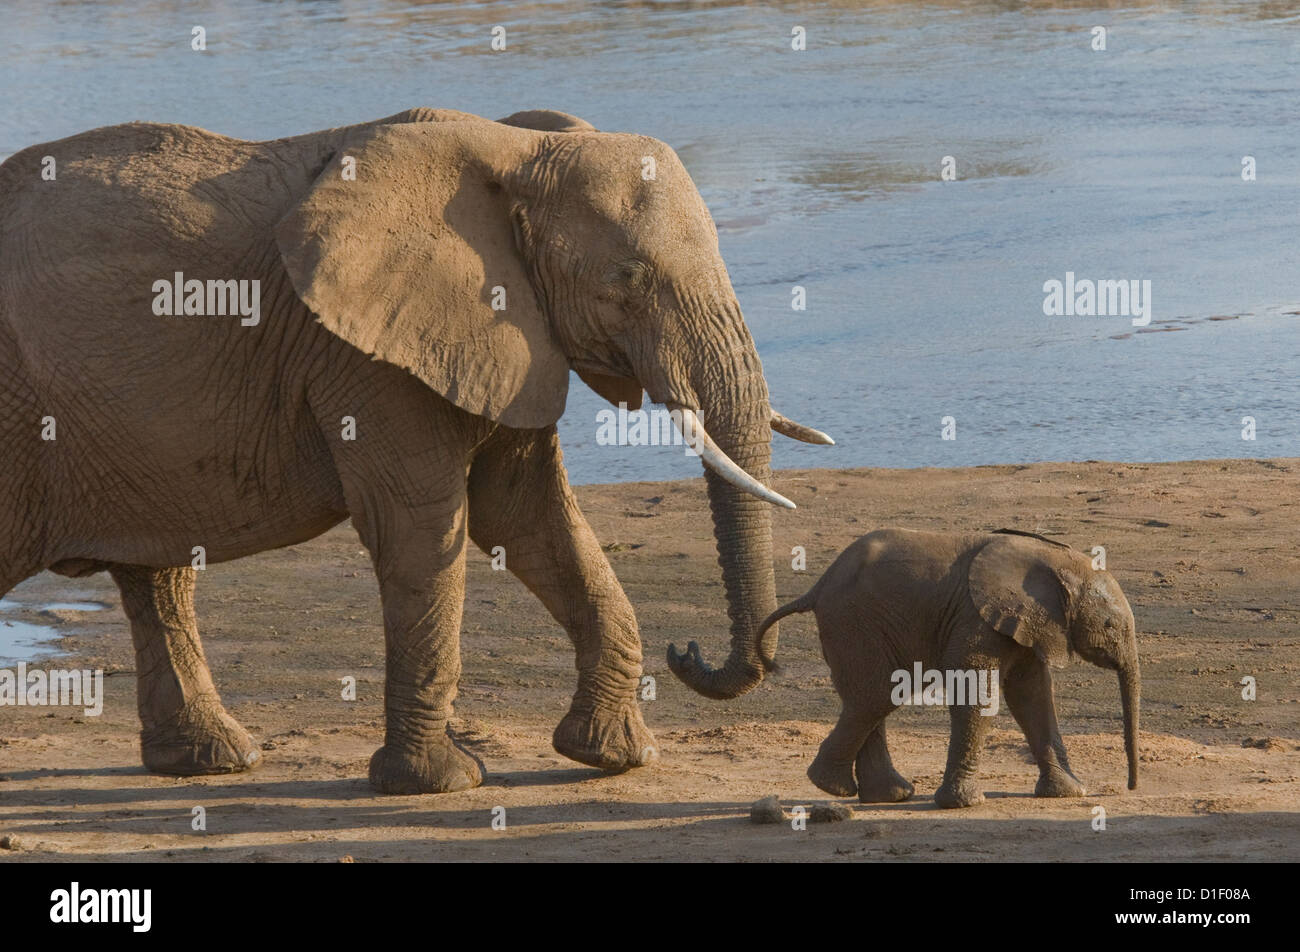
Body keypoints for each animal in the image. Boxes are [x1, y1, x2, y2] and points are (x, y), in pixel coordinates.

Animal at [0, 105, 832, 795]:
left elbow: (525, 518)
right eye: (626, 277)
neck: (514, 150)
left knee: (160, 577)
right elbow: (423, 527)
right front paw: (442, 783)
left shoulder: (503, 331)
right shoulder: (367, 356)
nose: (687, 653)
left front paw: (615, 756)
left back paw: (217, 761)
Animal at [759, 528, 1138, 801]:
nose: (1131, 786)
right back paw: (833, 787)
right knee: (876, 696)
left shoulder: (1029, 625)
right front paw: (964, 803)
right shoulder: (975, 618)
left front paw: (1069, 792)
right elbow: (976, 695)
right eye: (1110, 626)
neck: (1053, 559)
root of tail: (818, 586)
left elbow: (1033, 698)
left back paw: (884, 795)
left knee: (867, 698)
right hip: (852, 621)